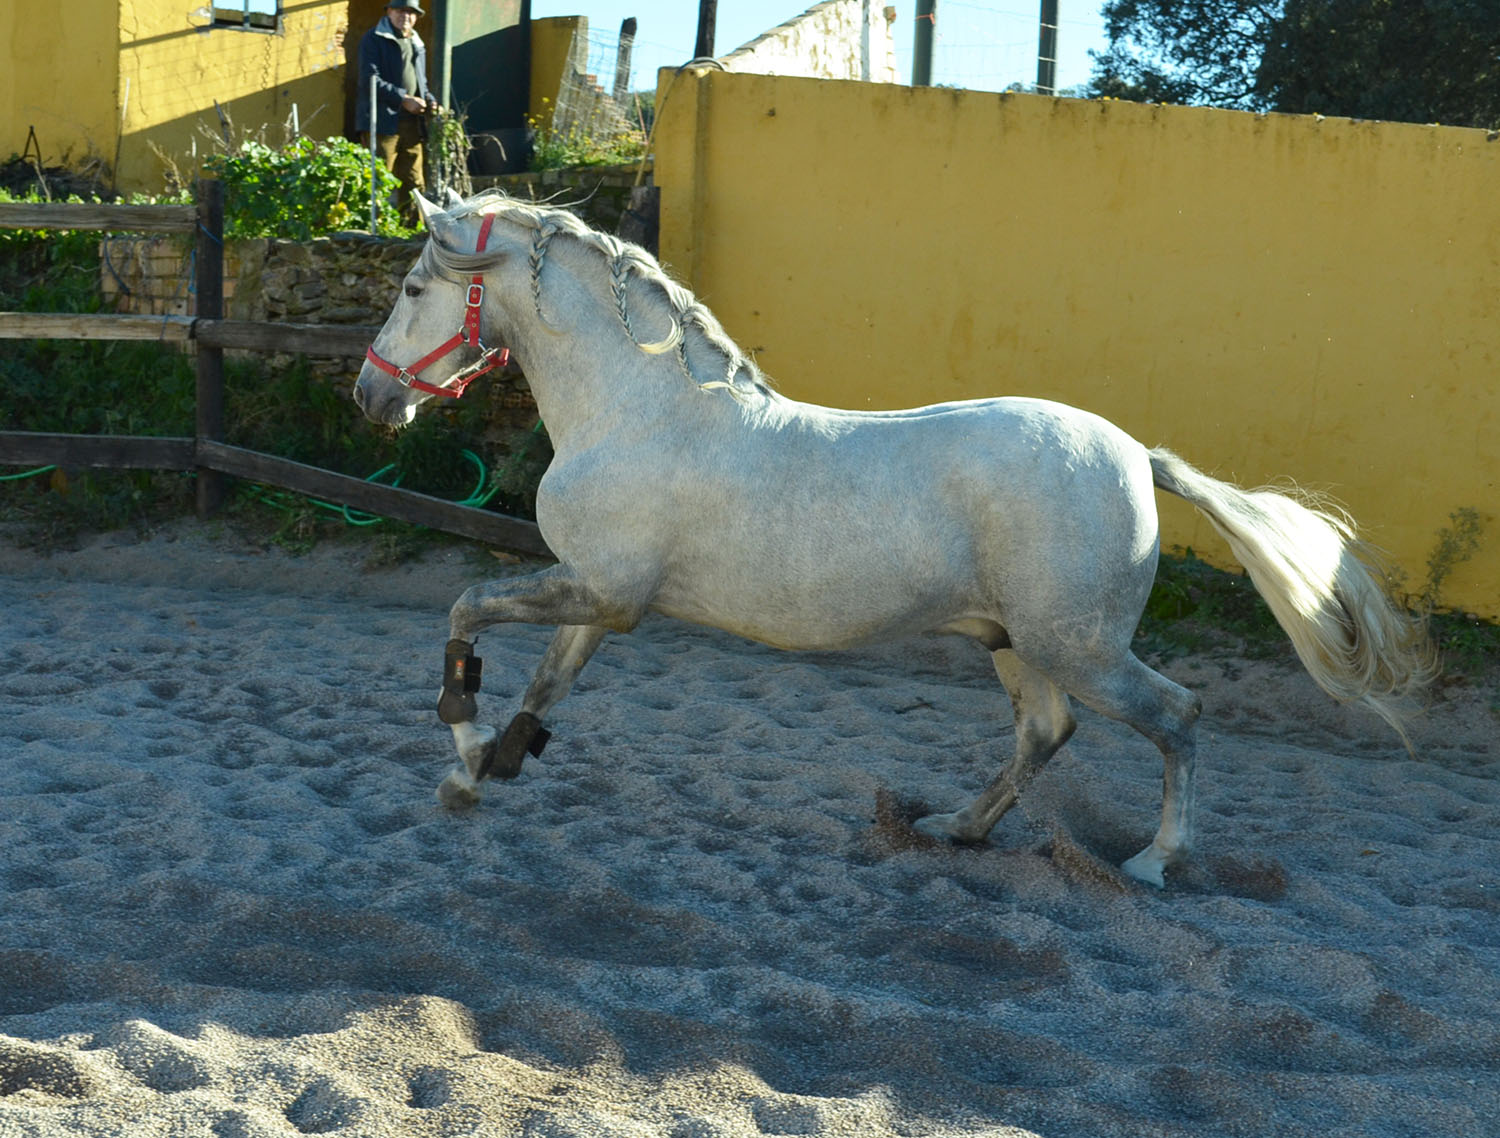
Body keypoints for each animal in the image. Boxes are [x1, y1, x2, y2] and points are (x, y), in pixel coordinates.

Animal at [351, 191, 1428, 887]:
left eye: (411, 288)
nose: (369, 395)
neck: (638, 408)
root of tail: (1135, 456)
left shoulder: (595, 586)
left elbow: (466, 611)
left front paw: (466, 740)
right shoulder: (606, 599)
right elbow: (546, 685)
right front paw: (484, 770)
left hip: (1077, 645)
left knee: (1178, 714)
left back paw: (1156, 861)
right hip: (1016, 642)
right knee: (1048, 732)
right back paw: (952, 827)